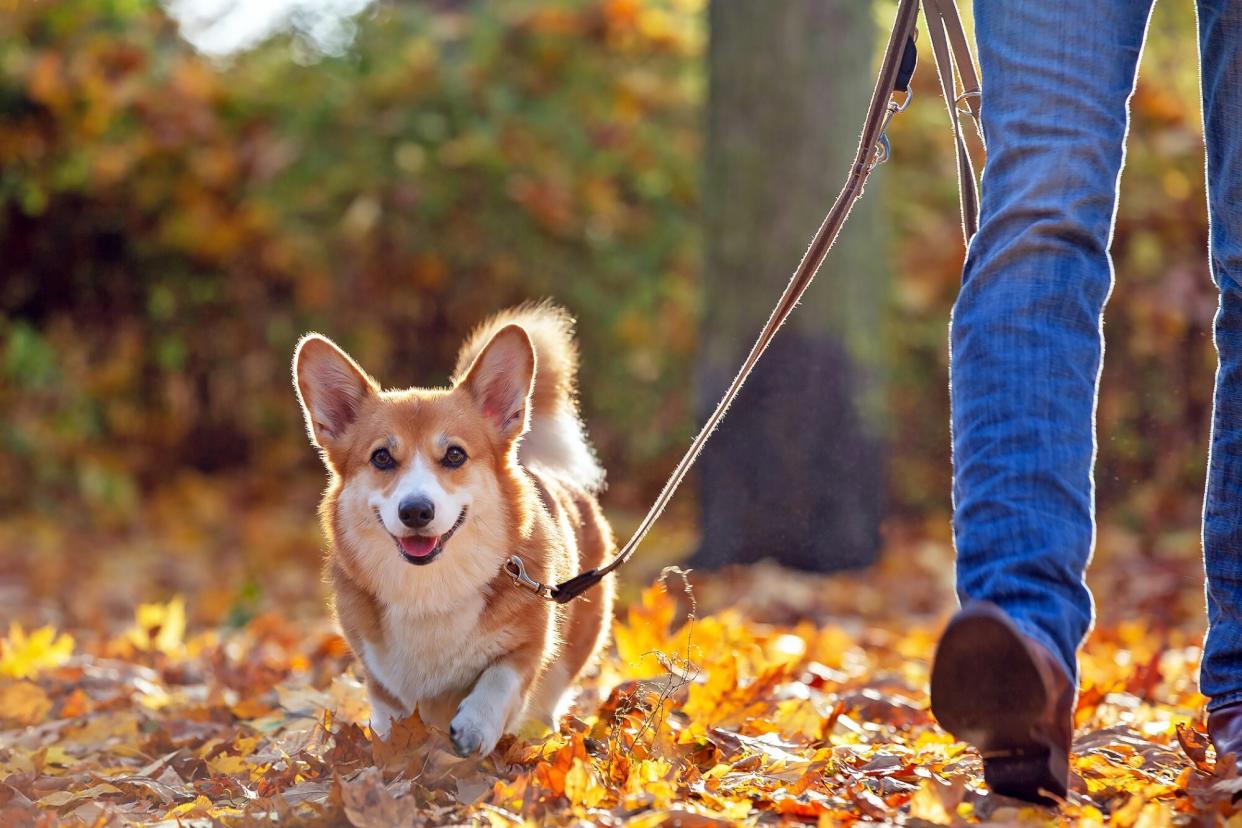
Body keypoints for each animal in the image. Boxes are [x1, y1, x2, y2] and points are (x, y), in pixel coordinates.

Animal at [291, 306, 621, 759]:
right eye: (381, 457)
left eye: (454, 455)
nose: (415, 511)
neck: (430, 589)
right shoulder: (379, 675)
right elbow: (390, 716)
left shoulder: (526, 645)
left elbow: (498, 679)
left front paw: (474, 727)